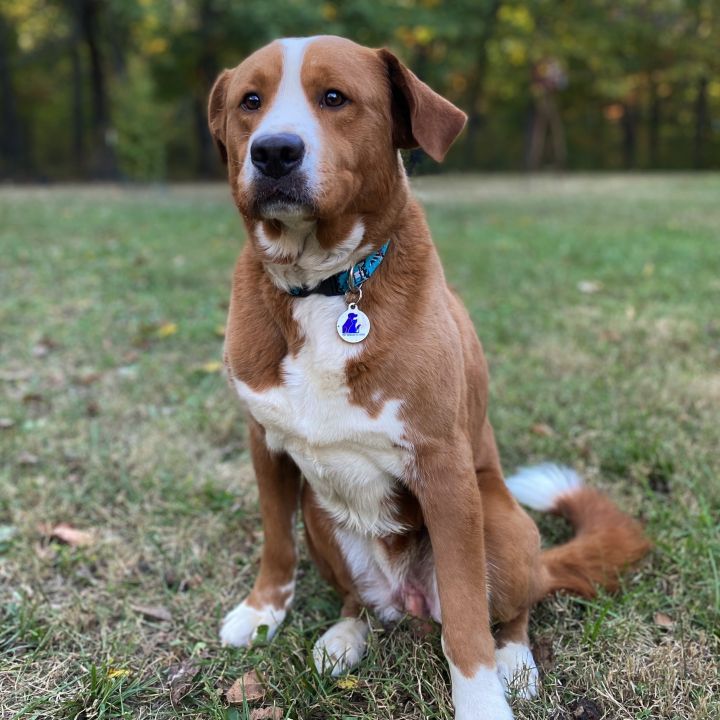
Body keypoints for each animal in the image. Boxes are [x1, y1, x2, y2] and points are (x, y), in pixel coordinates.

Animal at [205, 36, 648, 716]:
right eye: (249, 102)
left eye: (334, 97)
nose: (274, 150)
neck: (326, 284)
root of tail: (406, 600)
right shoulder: (266, 444)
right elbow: (275, 543)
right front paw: (260, 615)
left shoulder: (444, 470)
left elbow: (465, 615)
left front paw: (482, 700)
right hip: (321, 516)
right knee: (359, 601)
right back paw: (344, 636)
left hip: (501, 522)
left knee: (511, 611)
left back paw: (515, 662)